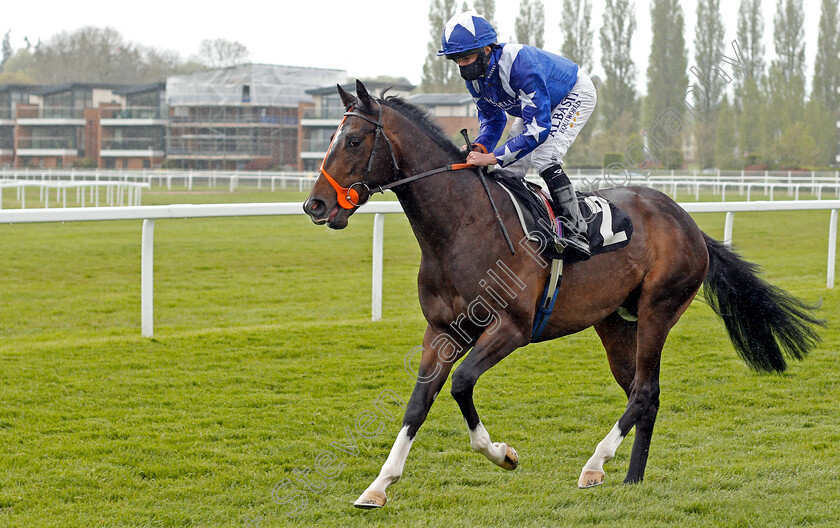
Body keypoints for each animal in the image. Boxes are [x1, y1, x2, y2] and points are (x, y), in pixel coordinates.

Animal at [302, 78, 820, 508]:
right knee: (644, 392)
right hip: (615, 323)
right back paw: (631, 477)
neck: (461, 227)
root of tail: (686, 221)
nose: (315, 205)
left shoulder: (511, 328)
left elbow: (462, 383)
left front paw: (502, 454)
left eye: (352, 140)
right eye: (328, 140)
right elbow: (418, 401)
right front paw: (378, 485)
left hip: (659, 309)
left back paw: (595, 465)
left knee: (644, 389)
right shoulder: (442, 330)